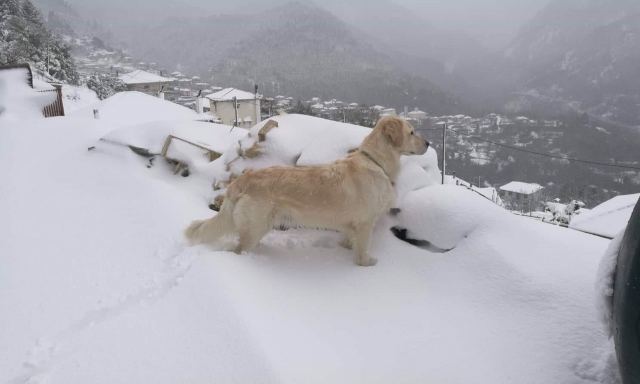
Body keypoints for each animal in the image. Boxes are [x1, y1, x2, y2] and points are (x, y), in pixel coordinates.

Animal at [184, 116, 430, 268]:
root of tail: (241, 180)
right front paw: (366, 265)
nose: (428, 143)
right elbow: (361, 252)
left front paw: (344, 249)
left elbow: (348, 241)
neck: (375, 161)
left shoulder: (352, 224)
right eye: (411, 132)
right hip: (255, 227)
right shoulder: (365, 223)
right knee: (239, 249)